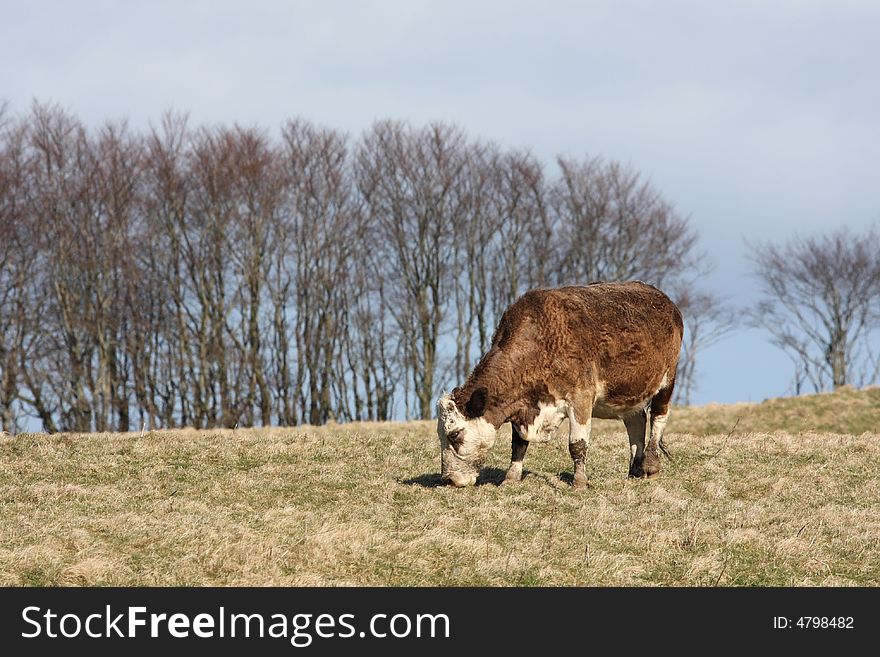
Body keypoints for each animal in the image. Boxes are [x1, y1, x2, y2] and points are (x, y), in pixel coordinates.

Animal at [436, 280, 684, 486]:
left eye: (454, 435)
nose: (448, 479)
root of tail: (665, 301)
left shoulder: (581, 397)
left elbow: (577, 444)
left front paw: (579, 482)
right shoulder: (523, 406)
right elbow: (519, 444)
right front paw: (511, 478)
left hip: (667, 381)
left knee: (658, 418)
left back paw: (650, 466)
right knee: (636, 422)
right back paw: (634, 471)